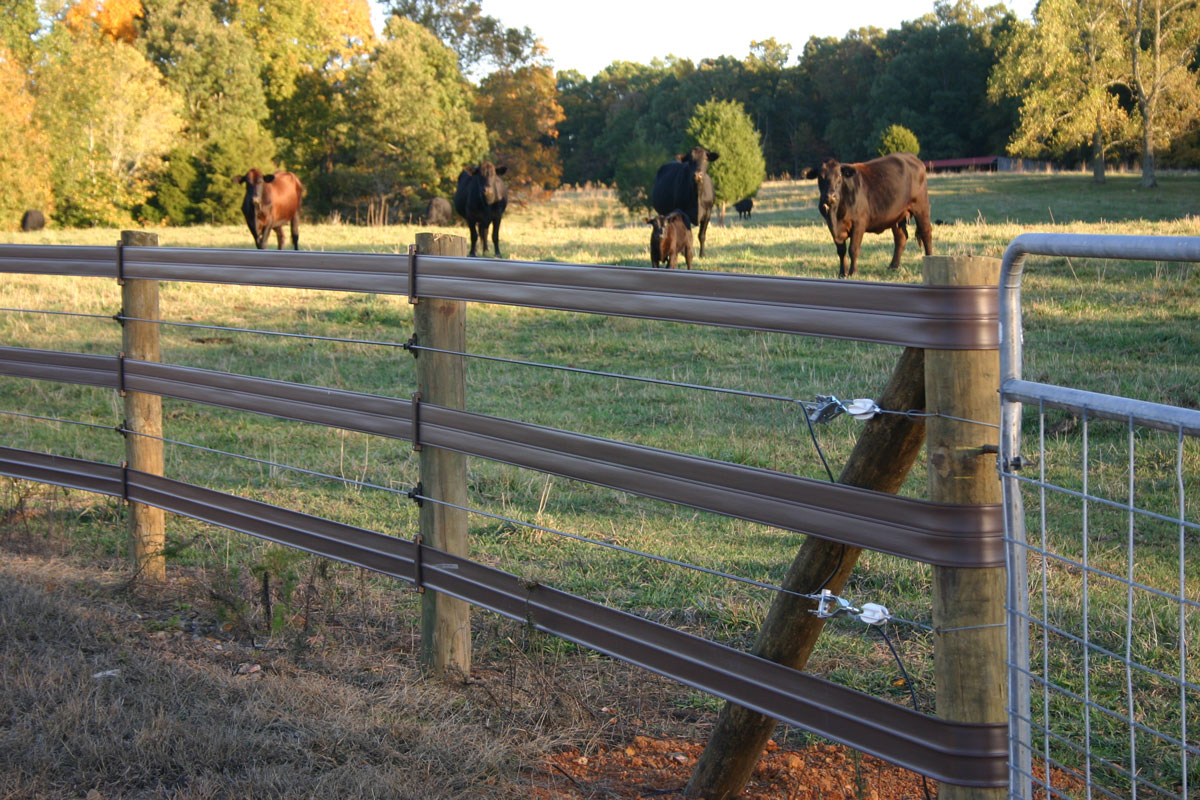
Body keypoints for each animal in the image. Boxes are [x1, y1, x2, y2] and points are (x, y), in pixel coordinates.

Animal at [801, 151, 931, 280]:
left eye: (839, 176)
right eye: (820, 177)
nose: (830, 196)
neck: (835, 214)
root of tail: (911, 156)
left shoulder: (859, 223)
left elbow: (853, 249)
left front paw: (853, 272)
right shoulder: (832, 227)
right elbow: (841, 251)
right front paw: (842, 273)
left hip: (921, 207)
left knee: (926, 232)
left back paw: (929, 259)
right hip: (897, 216)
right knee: (901, 238)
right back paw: (893, 266)